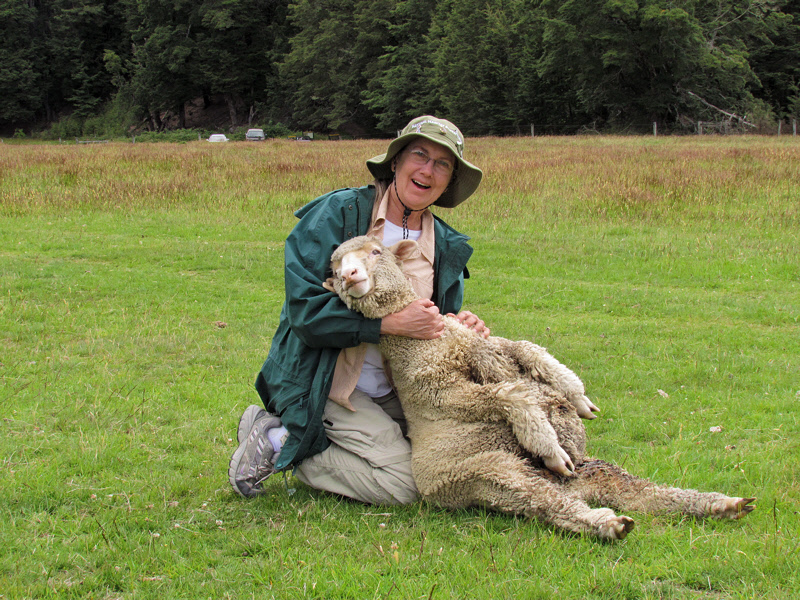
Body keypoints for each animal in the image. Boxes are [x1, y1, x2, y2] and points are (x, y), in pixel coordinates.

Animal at [322, 237, 752, 540]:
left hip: (592, 470)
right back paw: (606, 522)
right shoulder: (438, 390)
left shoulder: (485, 343)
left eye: (376, 251)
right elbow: (509, 393)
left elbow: (528, 351)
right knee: (549, 504)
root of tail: (572, 487)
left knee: (642, 492)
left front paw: (578, 398)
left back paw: (723, 504)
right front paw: (547, 441)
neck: (431, 339)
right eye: (336, 265)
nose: (348, 277)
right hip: (492, 473)